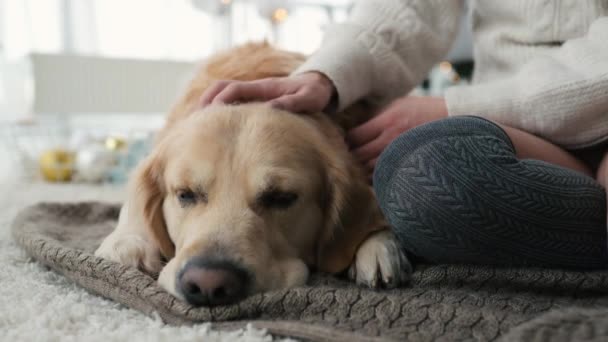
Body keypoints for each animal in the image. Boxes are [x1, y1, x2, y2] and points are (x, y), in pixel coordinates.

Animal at [95, 41, 410, 306]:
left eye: (282, 198)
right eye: (185, 194)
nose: (208, 283)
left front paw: (378, 246)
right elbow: (133, 202)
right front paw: (127, 242)